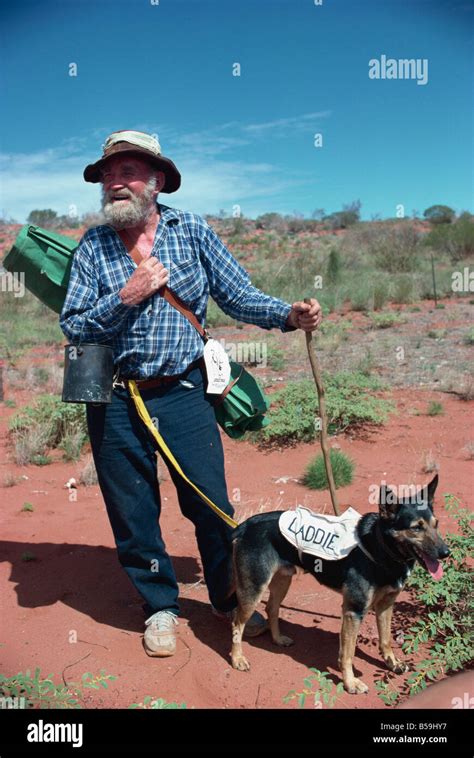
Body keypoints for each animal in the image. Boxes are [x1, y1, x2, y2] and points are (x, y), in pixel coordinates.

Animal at [231, 478, 450, 696]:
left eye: (436, 525)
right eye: (416, 527)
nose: (446, 552)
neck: (379, 547)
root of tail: (245, 525)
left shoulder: (386, 605)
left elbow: (386, 639)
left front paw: (392, 663)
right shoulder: (353, 611)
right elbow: (348, 653)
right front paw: (350, 683)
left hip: (282, 581)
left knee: (271, 608)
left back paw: (277, 639)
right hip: (254, 589)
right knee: (236, 623)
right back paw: (237, 659)